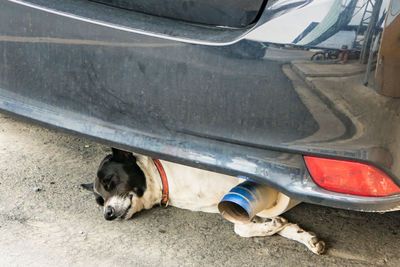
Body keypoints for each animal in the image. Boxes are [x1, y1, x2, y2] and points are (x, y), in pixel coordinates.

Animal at [81, 149, 324, 255]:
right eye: (99, 201)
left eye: (110, 182)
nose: (107, 214)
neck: (164, 179)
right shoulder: (230, 206)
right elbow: (248, 226)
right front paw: (298, 234)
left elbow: (240, 228)